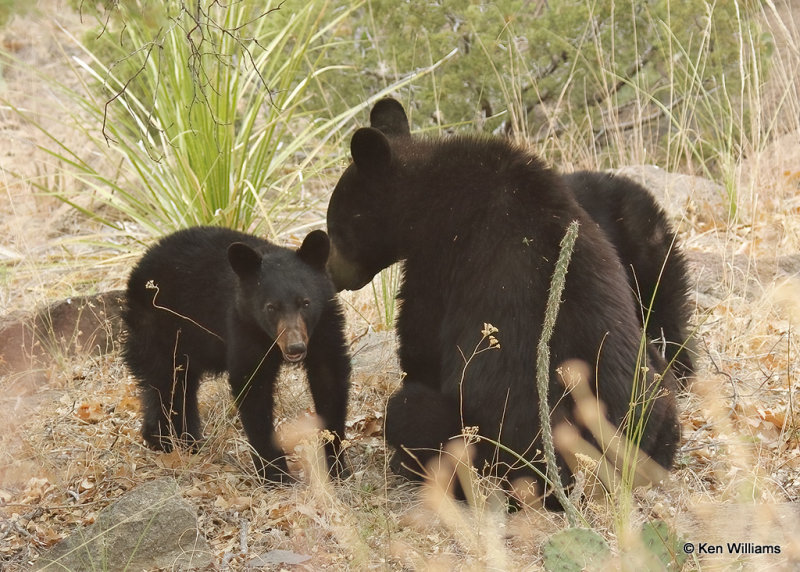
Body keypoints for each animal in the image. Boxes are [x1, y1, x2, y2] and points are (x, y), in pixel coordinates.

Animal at [122, 226, 350, 480]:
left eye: (306, 303)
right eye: (271, 307)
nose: (295, 348)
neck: (269, 338)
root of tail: (139, 266)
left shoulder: (324, 327)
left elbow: (330, 380)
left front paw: (336, 465)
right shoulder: (242, 325)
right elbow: (252, 387)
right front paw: (275, 474)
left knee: (180, 385)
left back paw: (185, 440)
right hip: (158, 328)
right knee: (167, 384)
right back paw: (168, 440)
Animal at [324, 99, 680, 500]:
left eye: (335, 226)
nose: (331, 273)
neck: (427, 187)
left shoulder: (437, 259)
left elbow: (421, 340)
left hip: (485, 442)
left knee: (410, 411)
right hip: (658, 389)